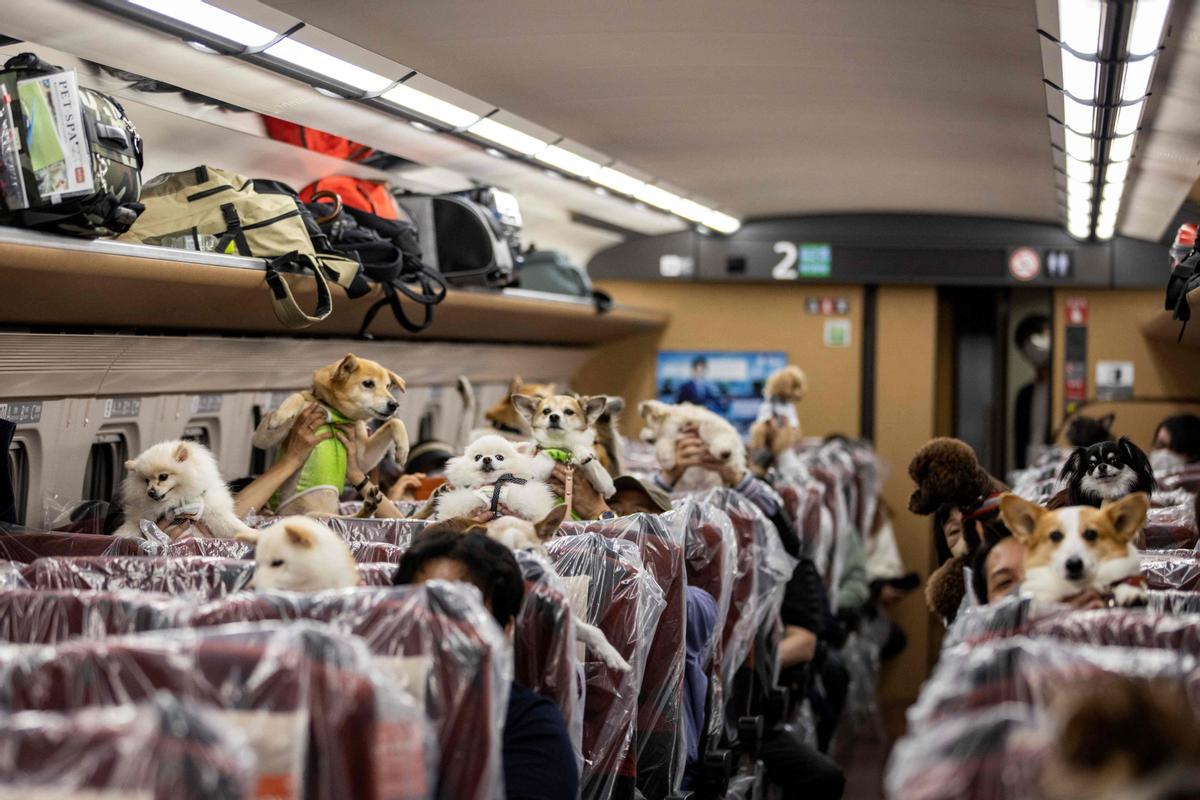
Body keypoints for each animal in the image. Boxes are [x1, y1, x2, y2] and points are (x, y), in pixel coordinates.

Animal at [115, 441, 249, 542]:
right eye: (146, 481)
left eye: (163, 477)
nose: (150, 492)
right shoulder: (139, 518)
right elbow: (129, 529)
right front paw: (119, 538)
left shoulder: (215, 514)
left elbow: (235, 528)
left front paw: (251, 533)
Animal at [250, 352, 410, 515]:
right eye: (368, 384)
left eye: (388, 386)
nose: (394, 405)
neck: (334, 413)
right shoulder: (262, 438)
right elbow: (298, 397)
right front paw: (280, 415)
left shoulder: (363, 458)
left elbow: (395, 422)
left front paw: (403, 450)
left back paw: (368, 506)